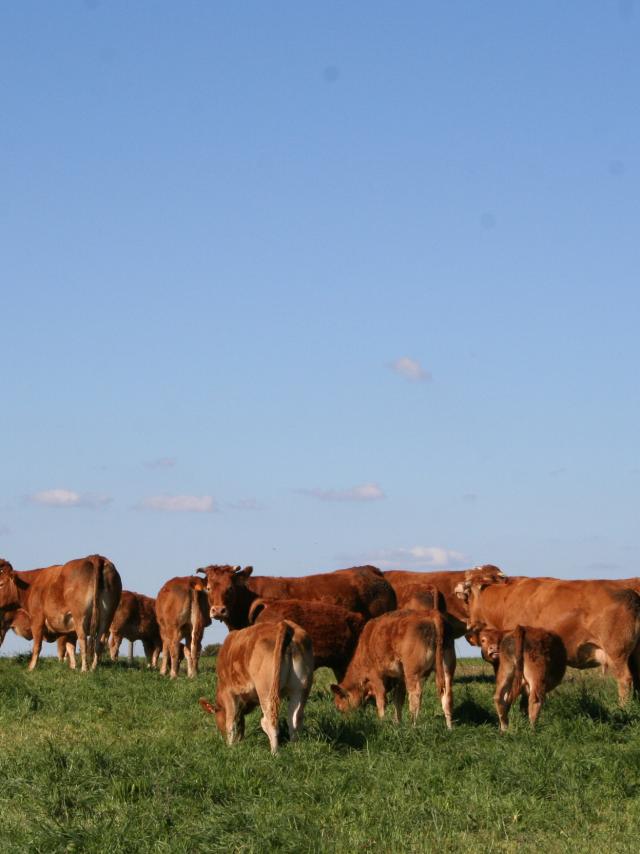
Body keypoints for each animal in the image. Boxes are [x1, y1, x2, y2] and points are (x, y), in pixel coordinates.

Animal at [199, 620, 314, 754]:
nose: (239, 742)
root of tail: (283, 624)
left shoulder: (228, 692)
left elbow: (231, 723)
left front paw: (230, 747)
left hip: (266, 690)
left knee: (270, 721)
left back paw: (274, 753)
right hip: (301, 688)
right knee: (294, 719)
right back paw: (296, 749)